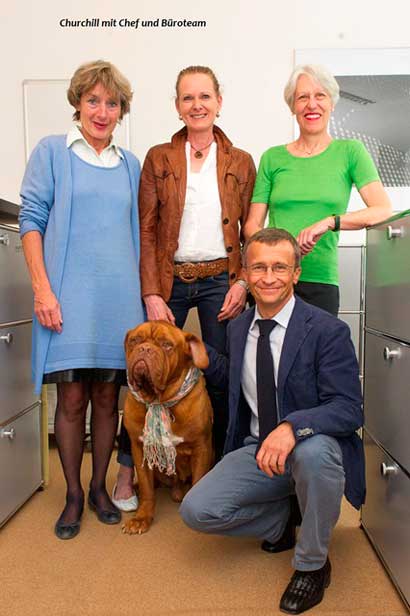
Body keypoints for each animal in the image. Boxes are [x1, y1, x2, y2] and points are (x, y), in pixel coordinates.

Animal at [122, 320, 213, 534]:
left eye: (167, 345)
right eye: (135, 340)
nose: (145, 349)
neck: (159, 400)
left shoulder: (201, 447)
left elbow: (198, 479)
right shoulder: (139, 448)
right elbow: (147, 488)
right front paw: (142, 518)